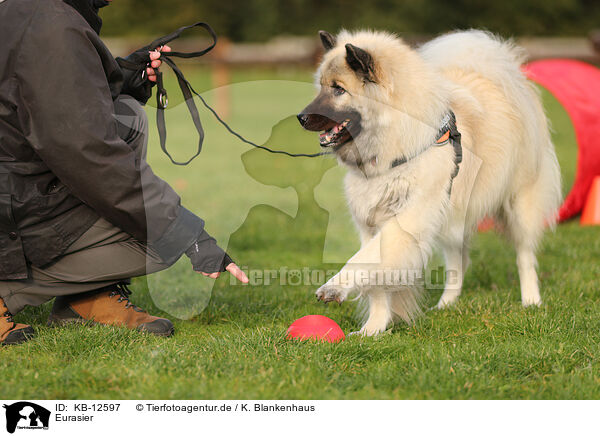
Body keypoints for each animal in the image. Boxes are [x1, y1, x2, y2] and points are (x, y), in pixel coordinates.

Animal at [298, 29, 564, 338]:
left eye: (338, 89)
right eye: (321, 86)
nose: (301, 117)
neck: (394, 150)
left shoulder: (405, 222)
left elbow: (362, 260)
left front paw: (334, 287)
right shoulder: (374, 223)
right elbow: (376, 281)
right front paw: (373, 329)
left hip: (518, 205)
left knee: (525, 255)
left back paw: (531, 300)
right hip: (454, 217)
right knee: (458, 263)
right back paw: (446, 304)